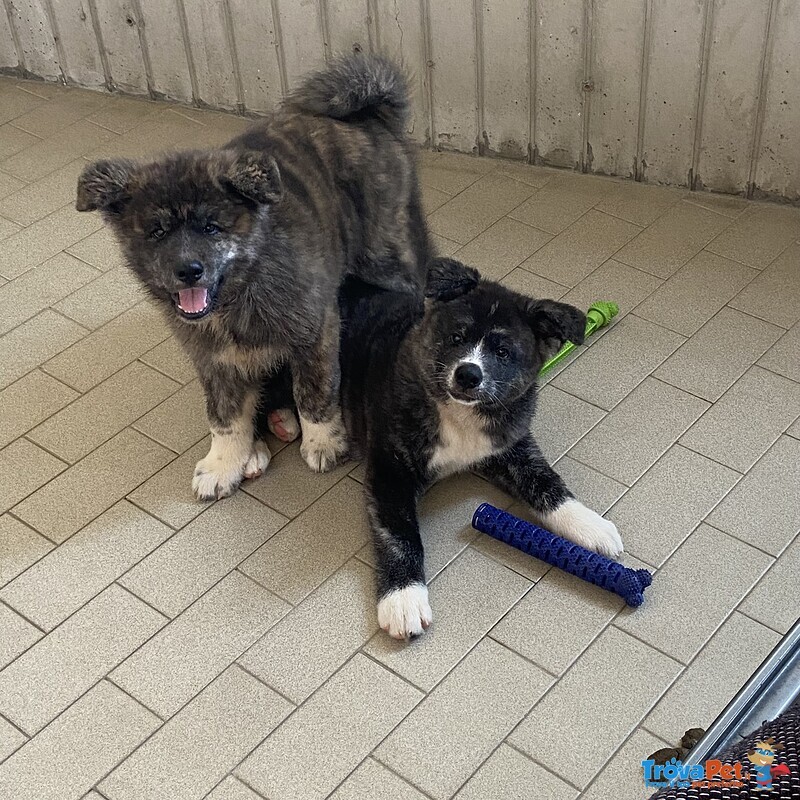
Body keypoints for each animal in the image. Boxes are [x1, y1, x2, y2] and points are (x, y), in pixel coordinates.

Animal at [75, 53, 432, 496]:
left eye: (212, 227)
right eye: (157, 232)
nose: (188, 271)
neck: (239, 293)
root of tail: (363, 112)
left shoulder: (315, 328)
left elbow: (315, 390)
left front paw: (323, 441)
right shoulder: (215, 360)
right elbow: (224, 416)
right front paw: (224, 462)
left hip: (384, 252)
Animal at [338, 260, 624, 640]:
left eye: (502, 352)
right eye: (456, 337)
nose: (468, 375)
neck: (459, 415)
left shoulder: (511, 447)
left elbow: (547, 484)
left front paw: (591, 527)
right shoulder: (389, 468)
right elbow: (398, 534)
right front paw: (403, 600)